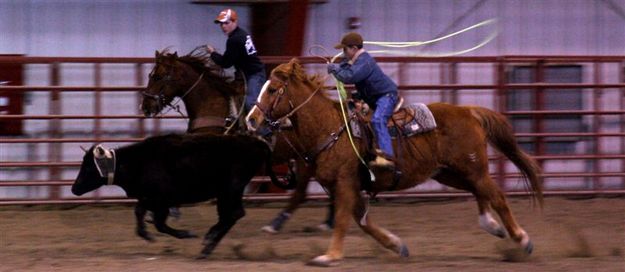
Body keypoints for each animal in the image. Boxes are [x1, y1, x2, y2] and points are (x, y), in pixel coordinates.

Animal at [140, 49, 334, 232]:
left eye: (158, 76)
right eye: (150, 75)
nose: (145, 106)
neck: (213, 107)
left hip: (305, 160)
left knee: (301, 193)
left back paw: (275, 225)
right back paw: (326, 223)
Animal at [246, 59, 544, 266]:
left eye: (273, 89)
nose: (251, 120)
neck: (329, 128)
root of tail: (469, 111)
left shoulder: (345, 182)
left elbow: (343, 219)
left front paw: (329, 256)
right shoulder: (340, 186)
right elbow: (362, 221)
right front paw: (396, 245)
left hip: (471, 169)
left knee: (497, 196)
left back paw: (522, 239)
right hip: (449, 172)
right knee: (480, 192)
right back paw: (492, 226)